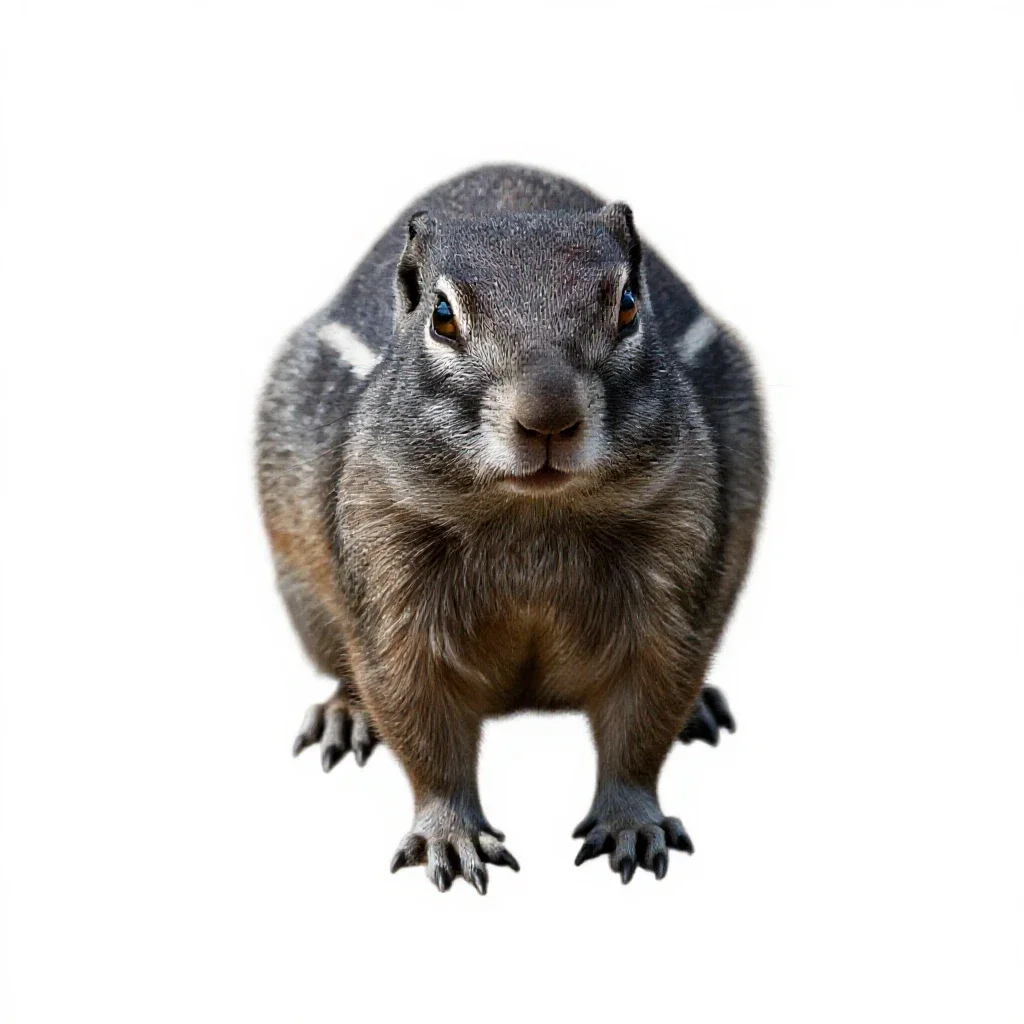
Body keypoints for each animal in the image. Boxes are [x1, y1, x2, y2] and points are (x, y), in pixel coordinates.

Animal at [257, 165, 767, 892]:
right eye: (441, 317)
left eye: (629, 306)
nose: (548, 417)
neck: (531, 519)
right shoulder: (390, 587)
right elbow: (418, 719)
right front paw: (449, 835)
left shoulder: (673, 578)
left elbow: (646, 713)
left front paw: (631, 820)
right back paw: (344, 715)